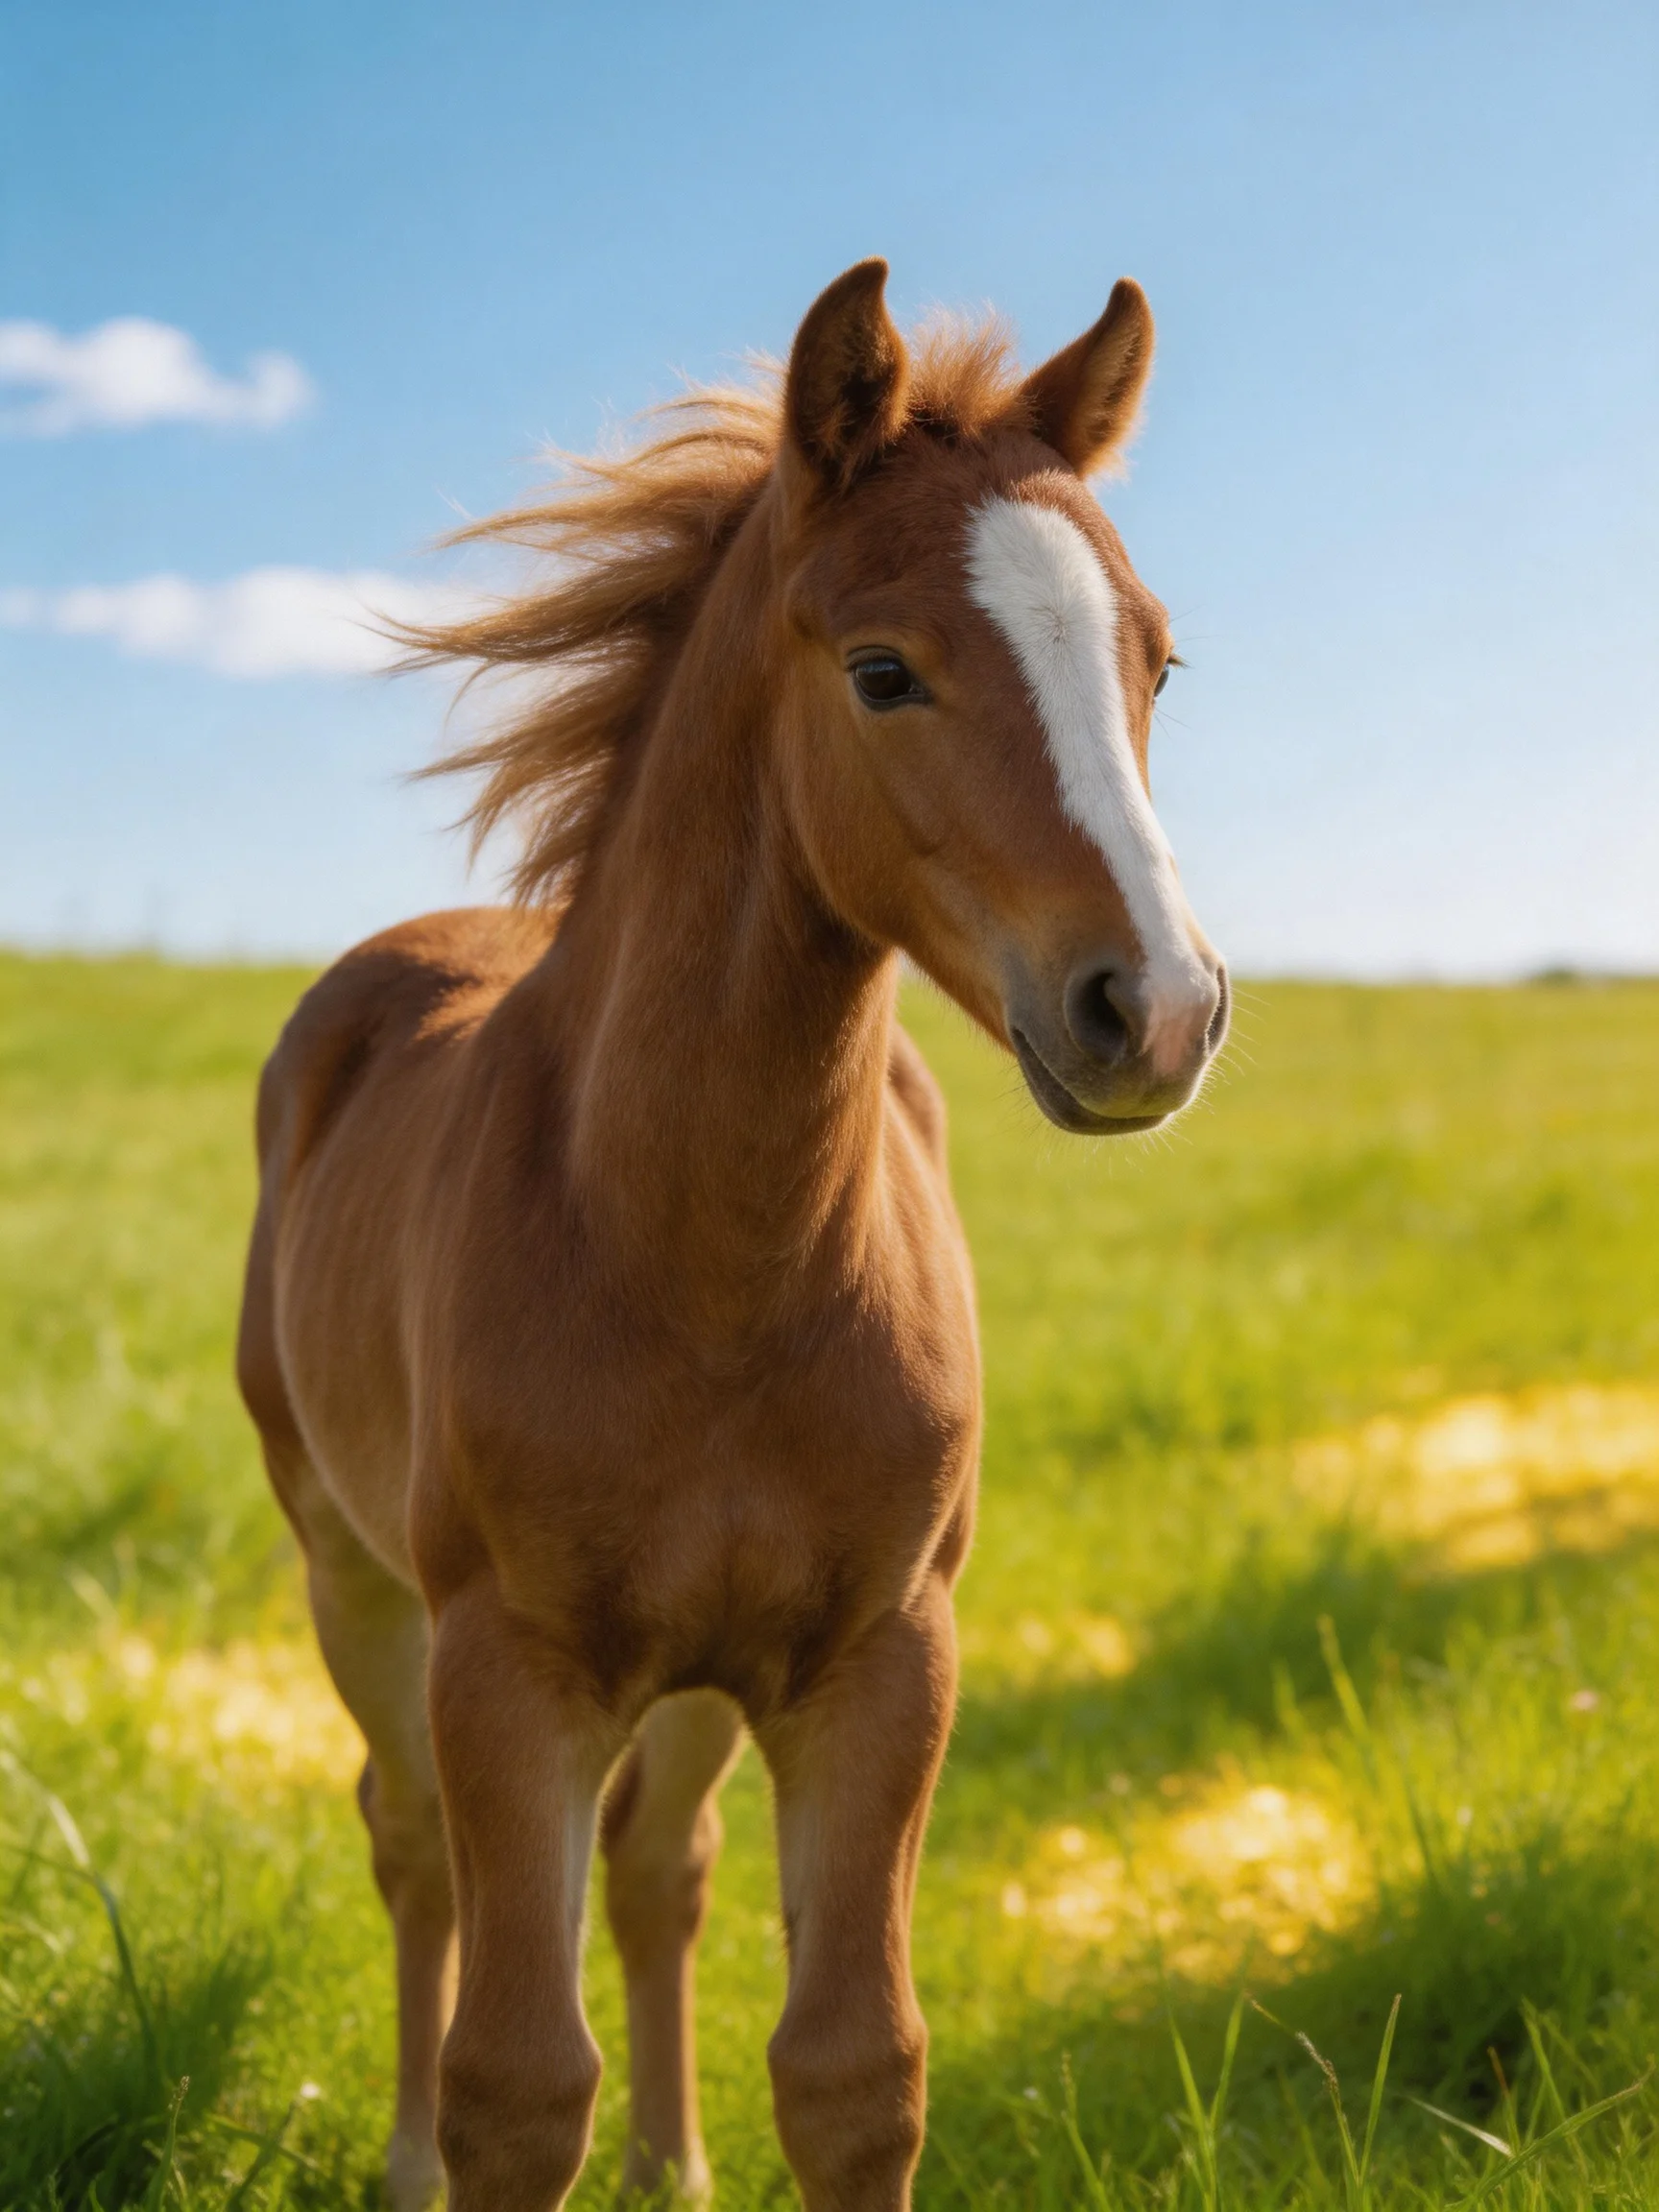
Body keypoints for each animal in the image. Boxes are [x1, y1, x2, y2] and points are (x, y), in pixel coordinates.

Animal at [236, 258, 1227, 2212]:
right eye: (882, 670)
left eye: (1154, 658)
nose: (1154, 1011)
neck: (704, 1264)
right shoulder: (510, 1671)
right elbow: (516, 2086)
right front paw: (470, 2139)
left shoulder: (879, 1658)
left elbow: (854, 2069)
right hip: (351, 1576)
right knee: (411, 1847)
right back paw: (400, 2157)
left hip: (695, 1674)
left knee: (655, 1863)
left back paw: (674, 2166)